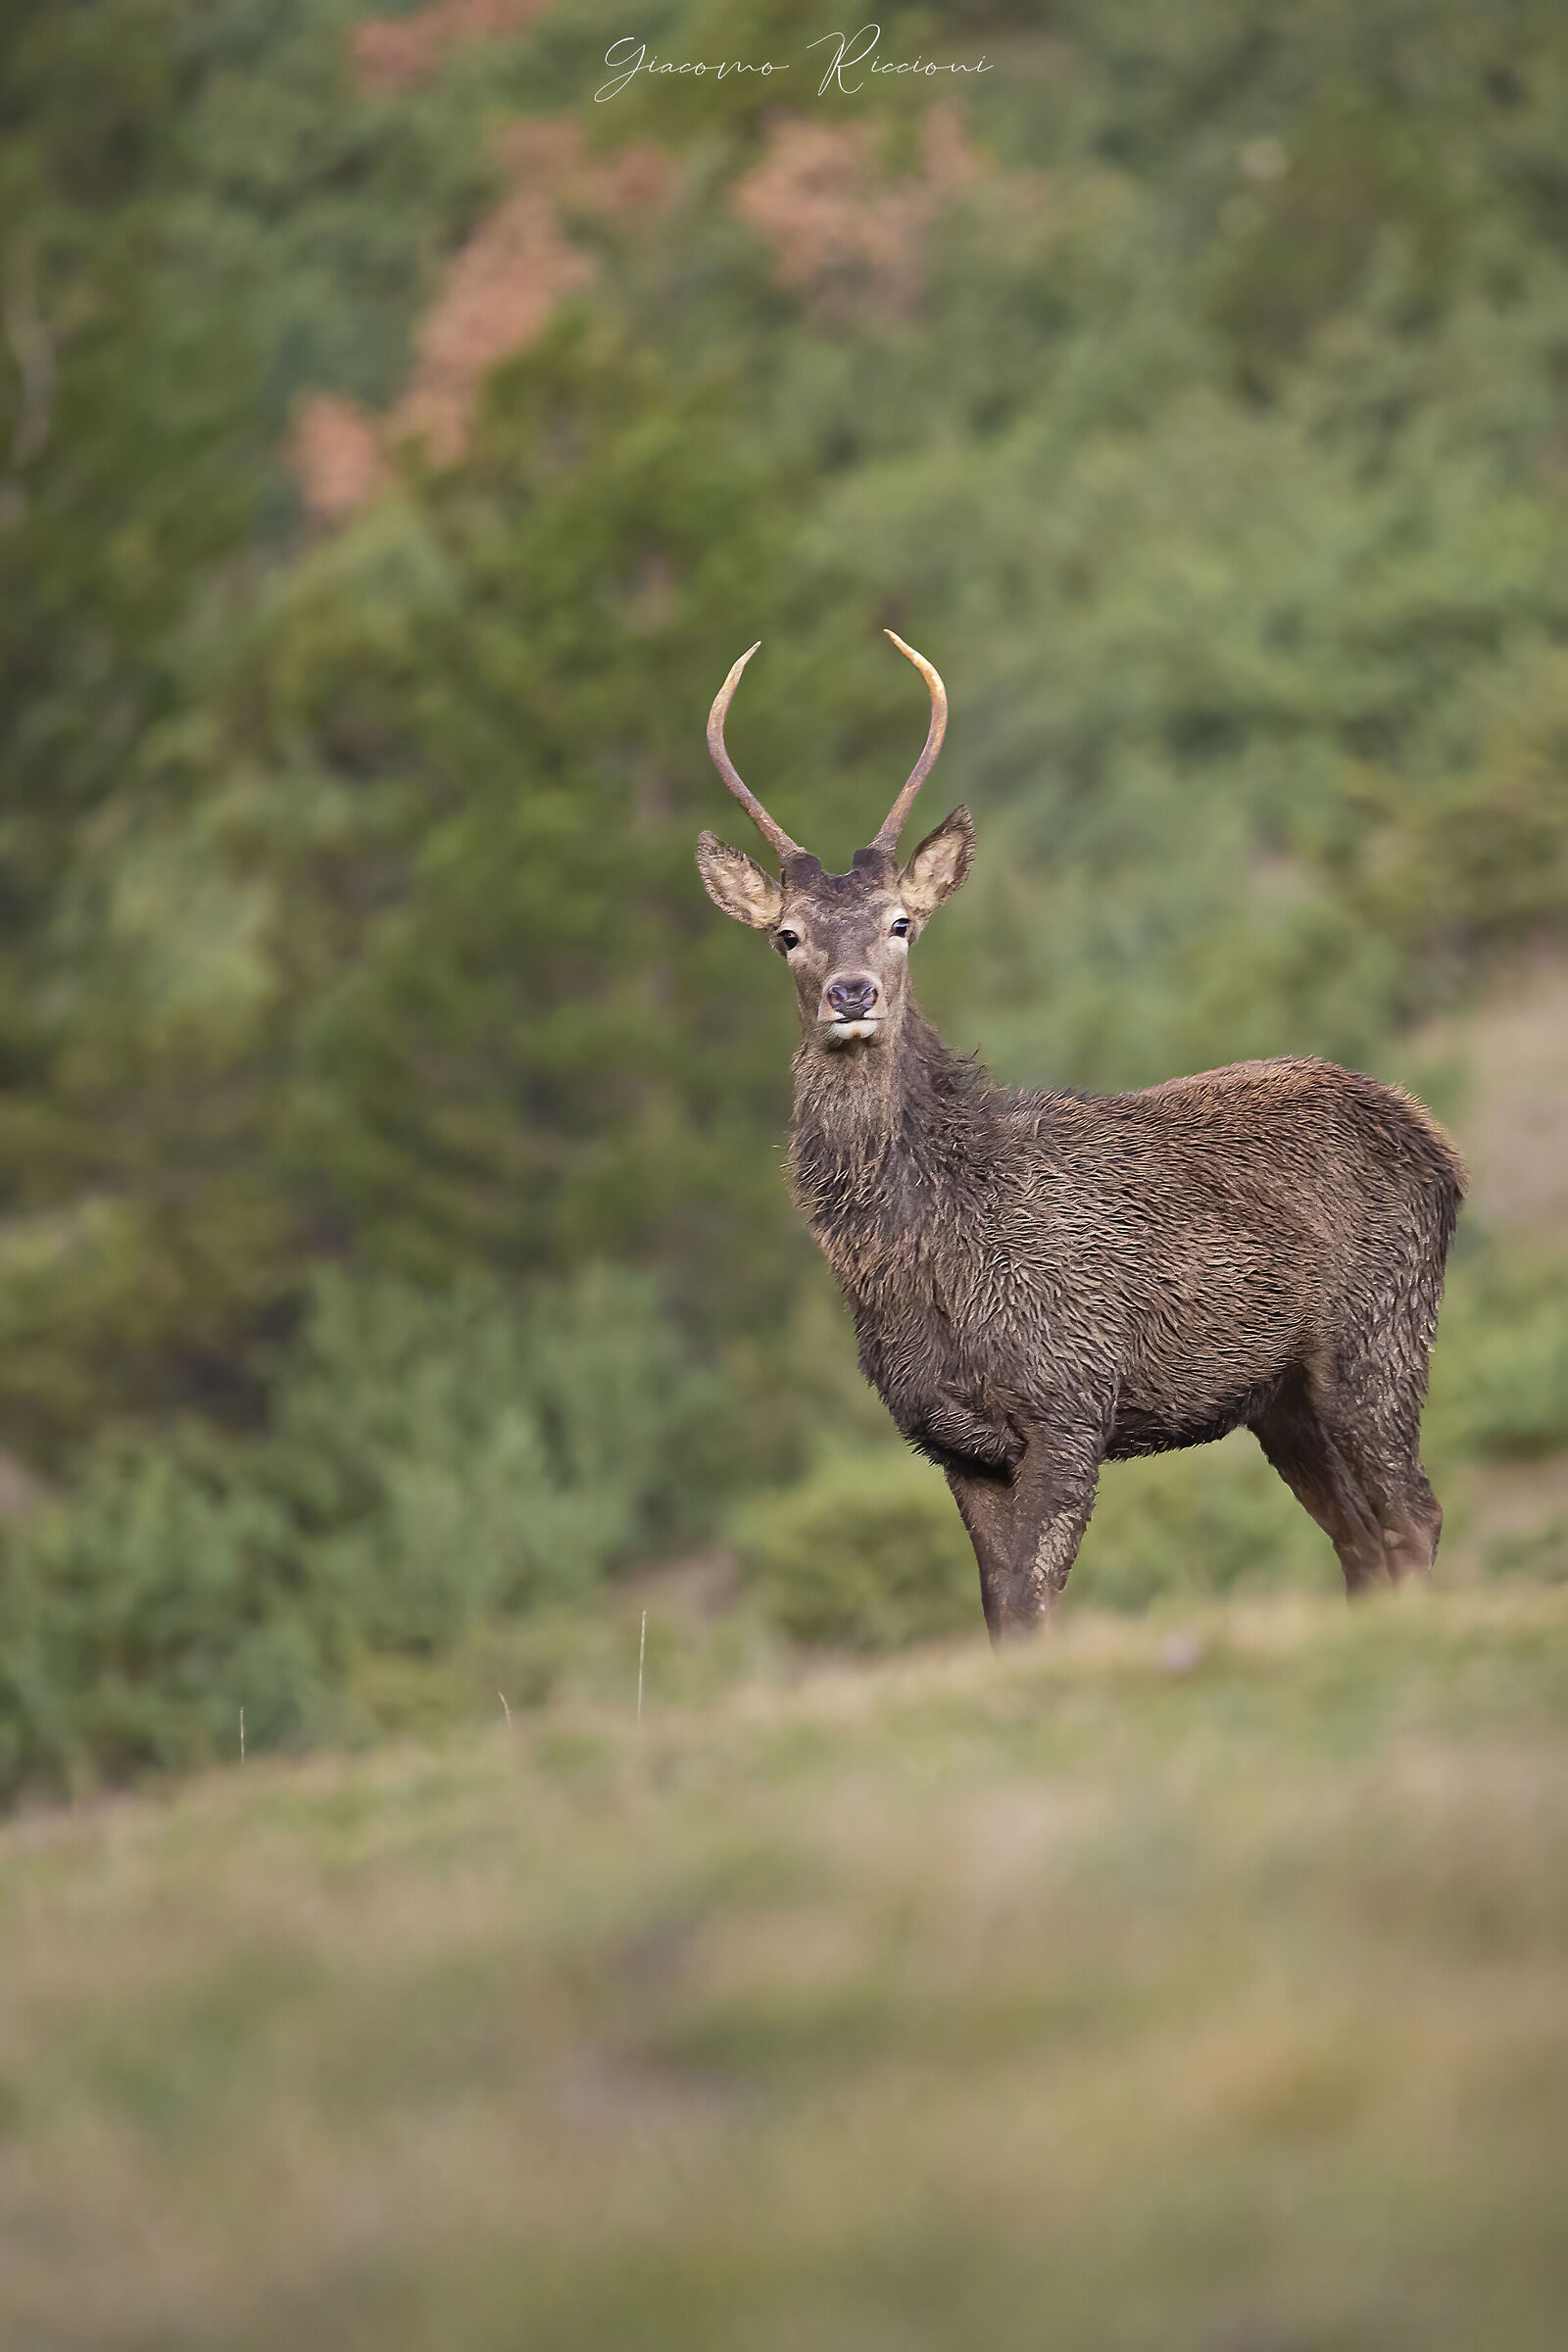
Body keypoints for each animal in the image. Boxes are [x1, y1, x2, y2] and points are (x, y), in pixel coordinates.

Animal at [696, 632, 1466, 1642]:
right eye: (787, 935)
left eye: (902, 922)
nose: (851, 993)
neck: (930, 1258)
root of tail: (1439, 1150)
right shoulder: (952, 1441)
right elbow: (999, 1617)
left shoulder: (1070, 1397)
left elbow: (1032, 1603)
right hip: (1281, 1396)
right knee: (1363, 1541)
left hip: (1379, 1335)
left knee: (1415, 1515)